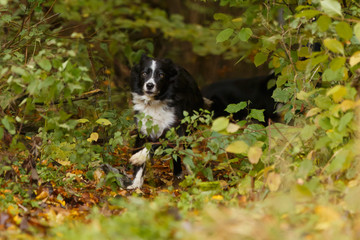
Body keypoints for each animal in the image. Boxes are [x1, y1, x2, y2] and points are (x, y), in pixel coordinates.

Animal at [127, 54, 204, 189]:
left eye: (161, 75)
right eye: (144, 73)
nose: (150, 85)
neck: (154, 102)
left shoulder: (174, 129)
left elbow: (156, 144)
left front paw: (139, 157)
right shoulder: (143, 128)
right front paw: (136, 183)